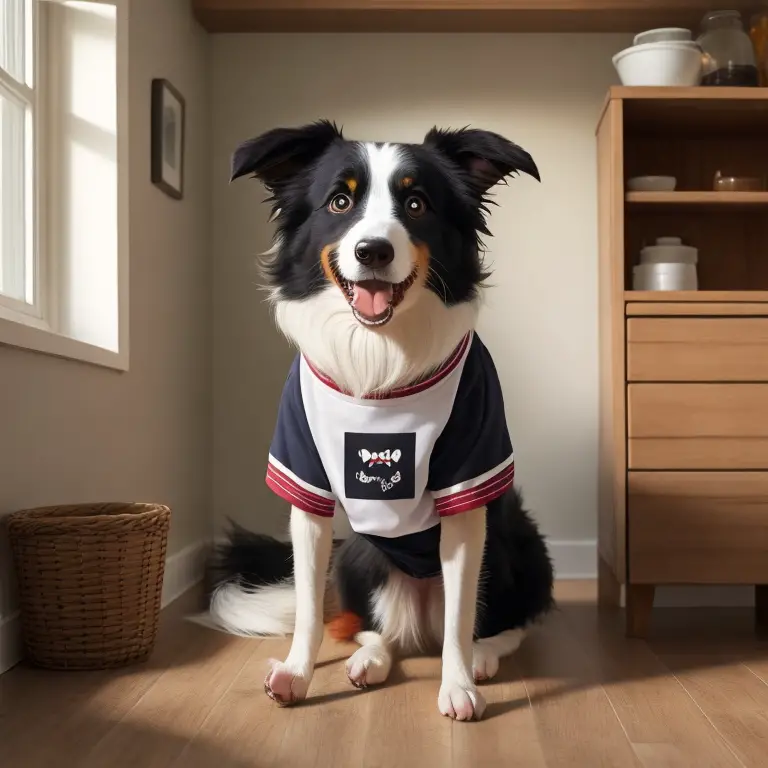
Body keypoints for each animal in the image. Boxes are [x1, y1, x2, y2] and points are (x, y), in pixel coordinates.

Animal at [204, 121, 552, 720]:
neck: (380, 353)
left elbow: (463, 614)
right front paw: (297, 673)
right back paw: (371, 658)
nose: (372, 250)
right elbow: (310, 606)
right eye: (340, 202)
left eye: (416, 203)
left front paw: (459, 685)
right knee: (370, 628)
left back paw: (483, 656)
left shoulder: (470, 488)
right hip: (359, 554)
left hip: (520, 544)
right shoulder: (304, 481)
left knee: (504, 620)